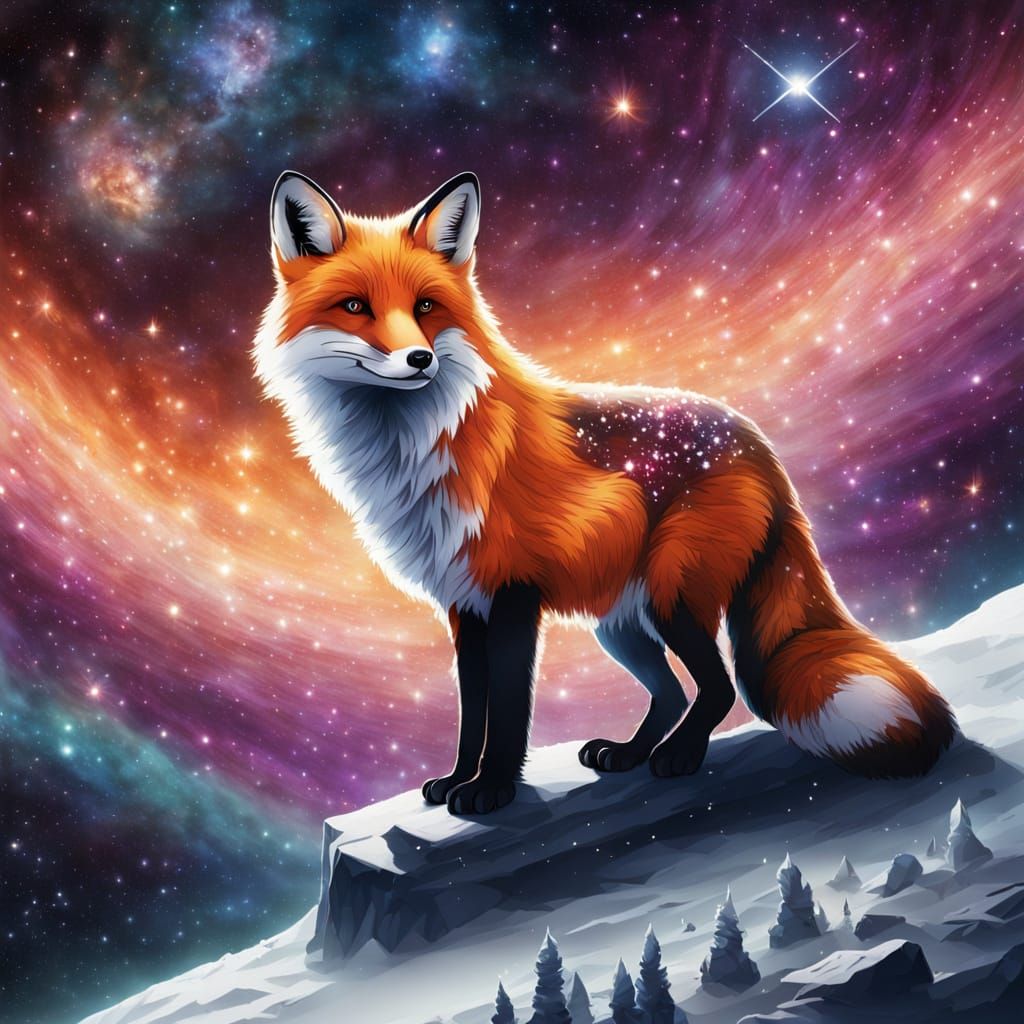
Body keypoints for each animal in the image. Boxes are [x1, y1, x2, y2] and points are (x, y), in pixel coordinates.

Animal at [253, 169, 956, 816]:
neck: (419, 445)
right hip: (621, 625)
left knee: (720, 689)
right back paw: (630, 752)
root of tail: (760, 445)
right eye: (355, 307)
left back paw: (677, 757)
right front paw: (456, 781)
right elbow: (471, 712)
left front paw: (492, 790)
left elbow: (508, 713)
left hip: (675, 598)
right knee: (671, 693)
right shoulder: (463, 603)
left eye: (426, 307)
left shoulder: (512, 595)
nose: (419, 360)